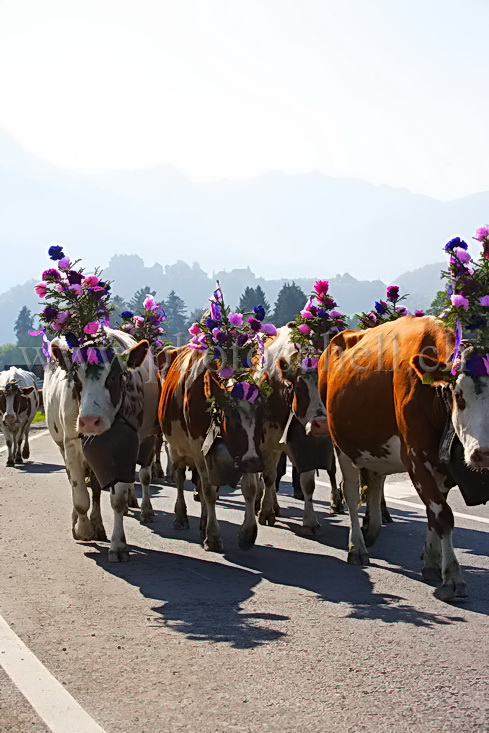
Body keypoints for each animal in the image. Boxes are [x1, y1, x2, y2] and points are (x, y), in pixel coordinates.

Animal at [43, 328, 158, 564]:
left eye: (113, 377)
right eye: (75, 378)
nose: (89, 421)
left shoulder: (125, 450)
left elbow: (118, 500)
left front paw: (118, 544)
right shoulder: (71, 446)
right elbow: (79, 497)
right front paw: (83, 529)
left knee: (108, 486)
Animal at [157, 346, 266, 552]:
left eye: (261, 415)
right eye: (230, 417)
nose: (254, 463)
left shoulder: (245, 455)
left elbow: (250, 488)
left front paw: (248, 534)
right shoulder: (199, 448)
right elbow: (208, 491)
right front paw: (213, 536)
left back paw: (203, 522)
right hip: (176, 448)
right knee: (181, 479)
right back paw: (181, 517)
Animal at [252, 324, 340, 532]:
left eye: (325, 385)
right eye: (299, 388)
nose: (321, 424)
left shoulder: (305, 442)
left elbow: (308, 483)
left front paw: (310, 520)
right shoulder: (266, 442)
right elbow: (268, 477)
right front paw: (265, 512)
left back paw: (275, 505)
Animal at [318, 316, 470, 600]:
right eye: (460, 395)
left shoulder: (440, 465)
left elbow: (434, 512)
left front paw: (432, 561)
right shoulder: (416, 457)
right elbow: (442, 515)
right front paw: (452, 577)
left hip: (374, 445)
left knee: (375, 482)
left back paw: (372, 528)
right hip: (341, 443)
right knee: (351, 492)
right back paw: (357, 546)